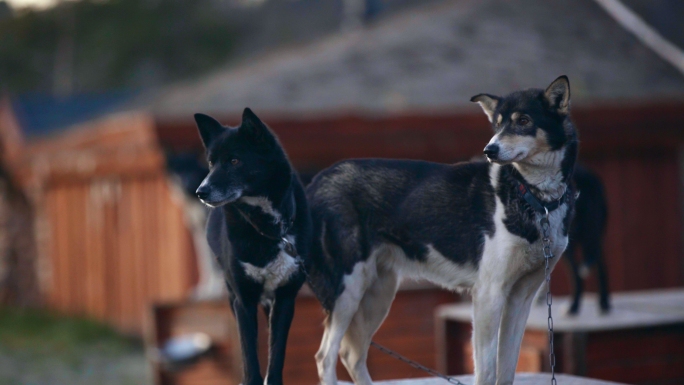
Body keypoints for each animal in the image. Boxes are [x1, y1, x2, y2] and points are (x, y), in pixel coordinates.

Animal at [192, 108, 310, 384]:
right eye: (211, 163)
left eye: (235, 161)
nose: (200, 192)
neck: (270, 229)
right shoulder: (243, 301)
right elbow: (249, 356)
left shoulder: (285, 298)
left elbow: (276, 353)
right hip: (232, 294)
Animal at [304, 76, 576, 384]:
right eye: (497, 125)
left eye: (523, 121)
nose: (489, 150)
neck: (531, 196)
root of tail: (316, 182)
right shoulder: (489, 294)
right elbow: (486, 370)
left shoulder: (520, 299)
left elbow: (507, 369)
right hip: (347, 291)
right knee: (325, 357)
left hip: (377, 293)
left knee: (352, 354)